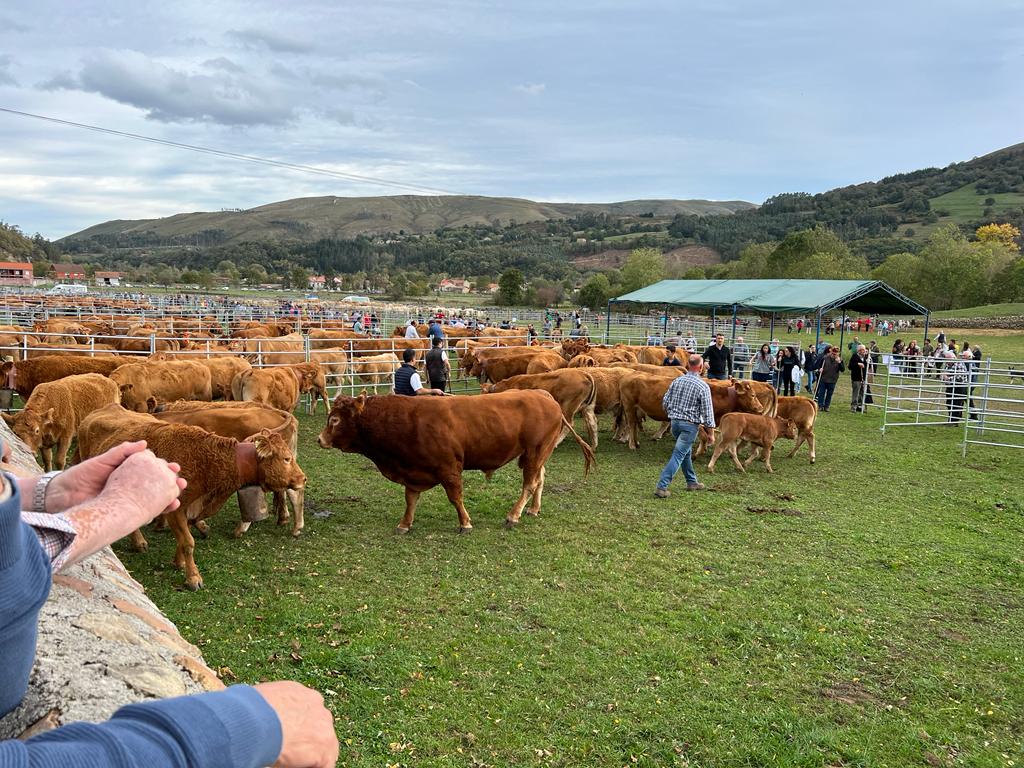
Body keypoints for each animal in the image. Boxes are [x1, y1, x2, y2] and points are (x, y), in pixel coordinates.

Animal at [77, 405, 305, 593]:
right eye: (286, 459)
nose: (303, 478)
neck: (204, 458)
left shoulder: (190, 507)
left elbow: (184, 537)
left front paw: (179, 562)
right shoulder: (176, 509)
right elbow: (188, 541)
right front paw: (193, 577)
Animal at [315, 393, 598, 532]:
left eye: (335, 420)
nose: (320, 439)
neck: (406, 420)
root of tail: (548, 399)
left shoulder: (448, 468)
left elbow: (455, 497)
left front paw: (465, 523)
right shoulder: (414, 471)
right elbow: (410, 499)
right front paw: (405, 524)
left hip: (534, 452)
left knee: (529, 483)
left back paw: (513, 515)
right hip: (536, 454)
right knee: (540, 479)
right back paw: (533, 509)